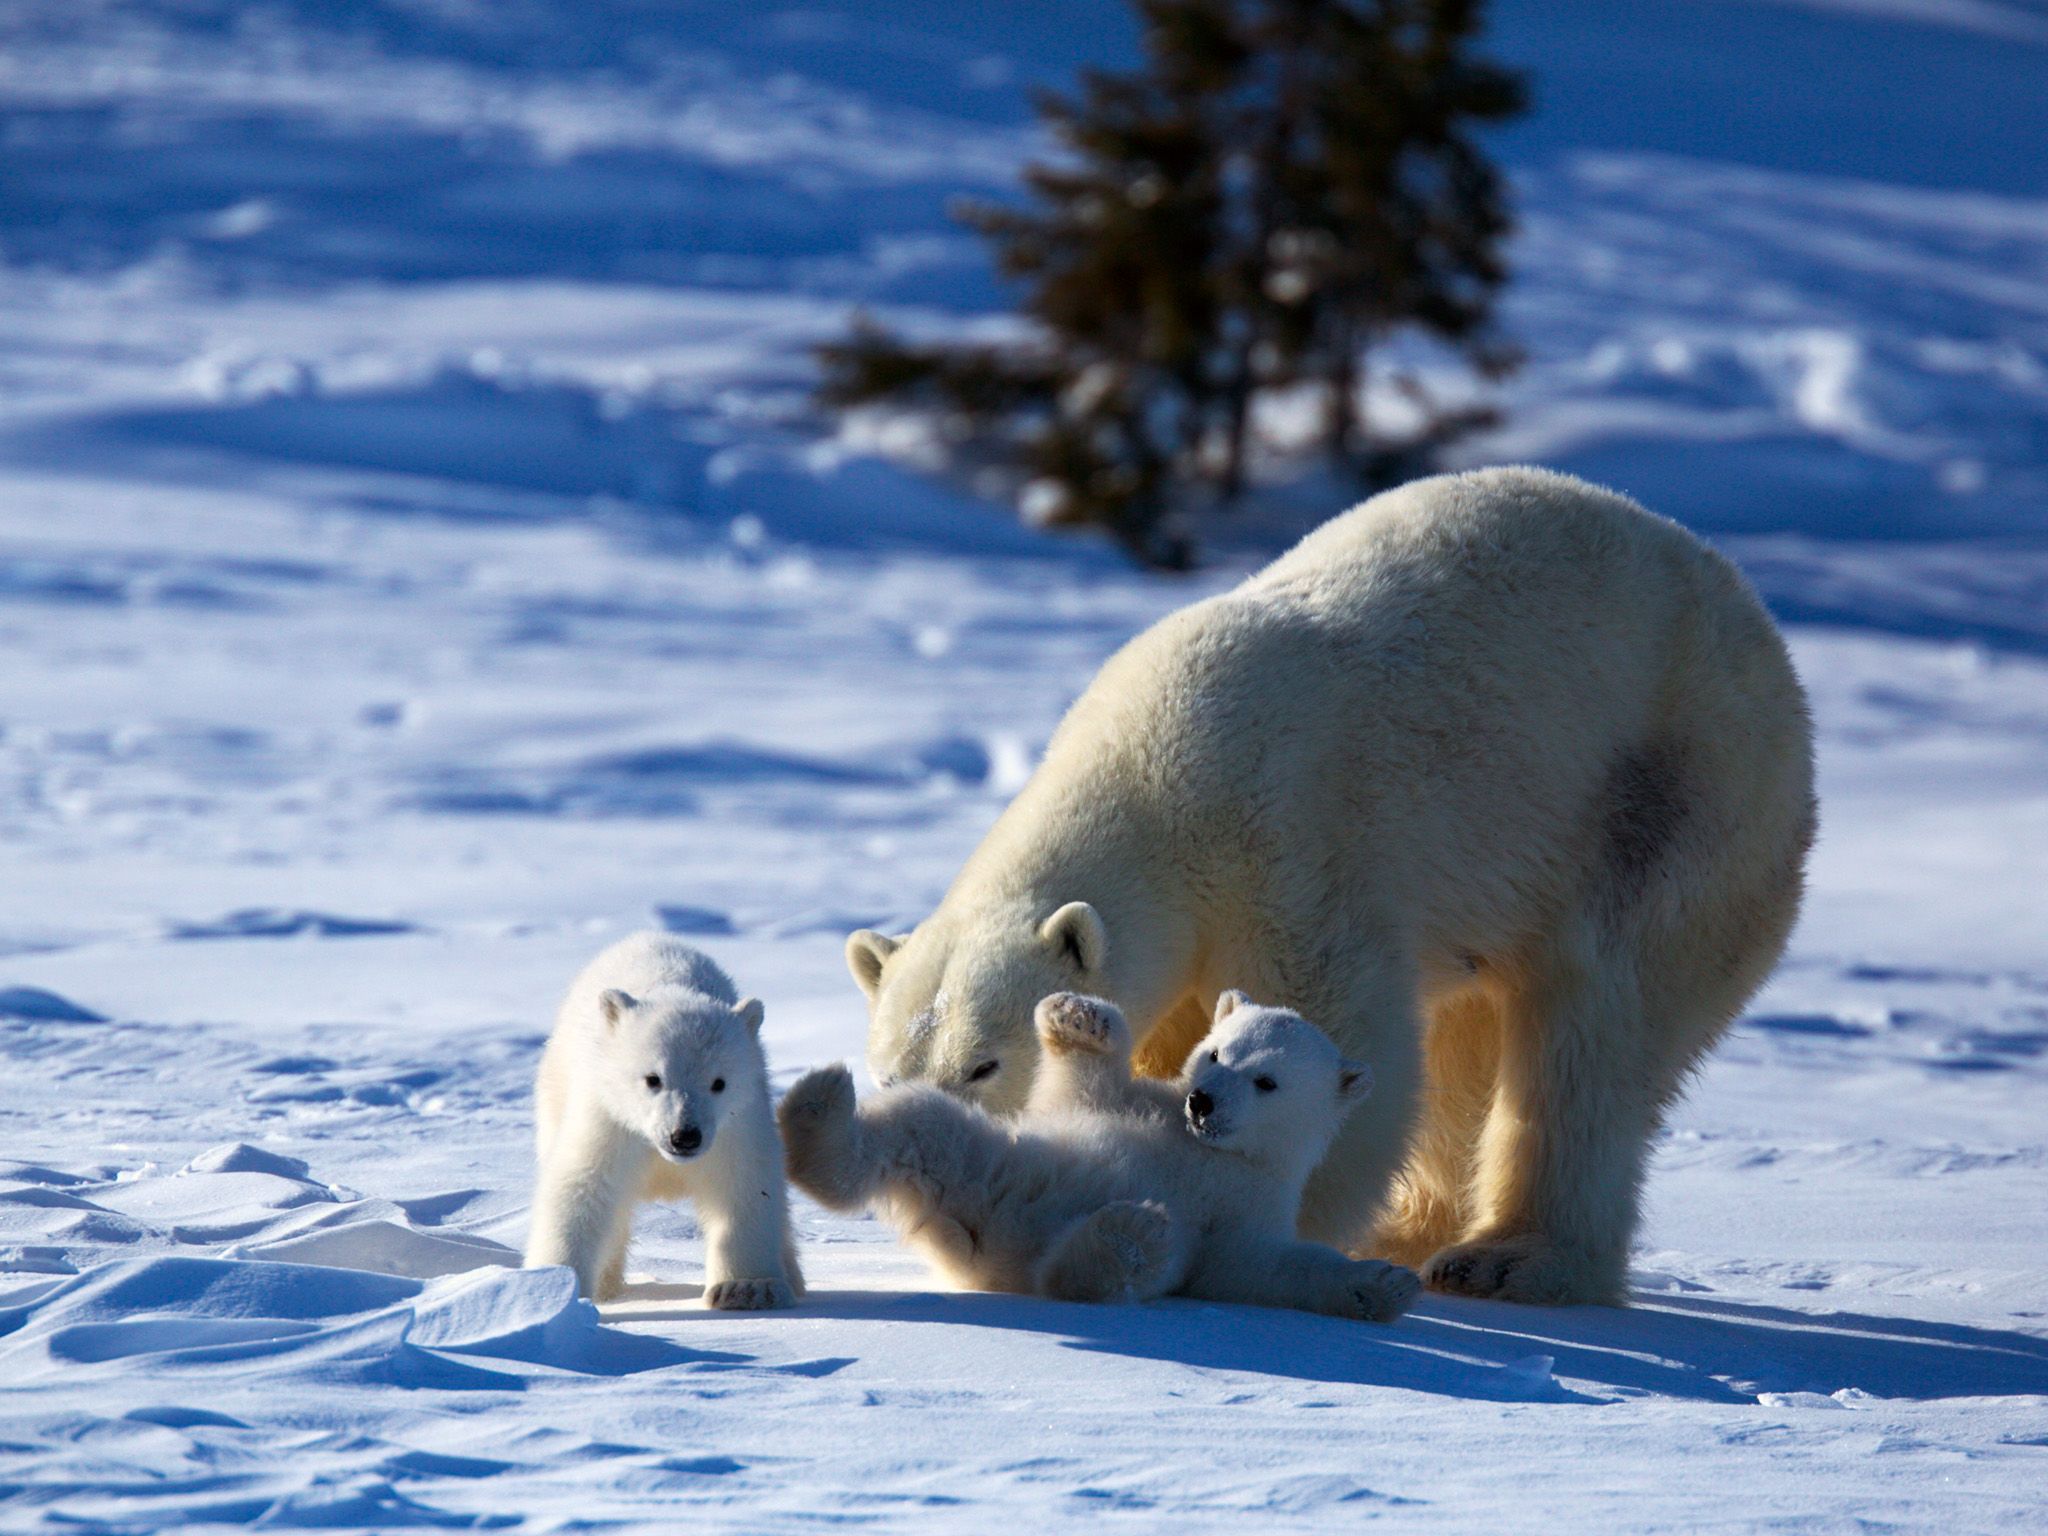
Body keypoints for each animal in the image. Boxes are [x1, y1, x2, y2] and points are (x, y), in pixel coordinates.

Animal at [843, 462, 1810, 1302]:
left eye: (983, 1063)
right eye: (889, 1072)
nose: (928, 1116)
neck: (1155, 775)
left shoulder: (1287, 846)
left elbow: (1331, 1036)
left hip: (1671, 807)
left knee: (1593, 1037)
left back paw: (1513, 1259)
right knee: (1468, 1038)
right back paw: (1416, 1227)